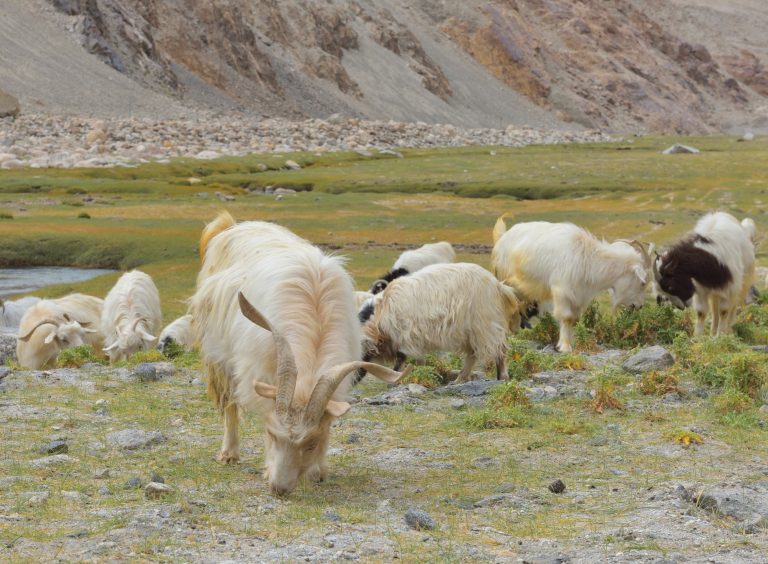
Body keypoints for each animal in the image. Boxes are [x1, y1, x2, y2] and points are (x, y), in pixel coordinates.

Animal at [189, 212, 406, 496]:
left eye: (312, 443)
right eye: (272, 434)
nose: (279, 488)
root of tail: (233, 226)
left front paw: (318, 471)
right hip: (218, 353)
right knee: (229, 404)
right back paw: (229, 453)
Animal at [359, 262, 521, 383]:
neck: (381, 312)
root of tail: (499, 286)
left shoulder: (407, 338)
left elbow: (402, 363)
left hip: (485, 326)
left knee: (500, 350)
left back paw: (502, 377)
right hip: (472, 332)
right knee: (473, 354)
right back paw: (460, 379)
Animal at [491, 216, 651, 352]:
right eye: (643, 283)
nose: (639, 306)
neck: (588, 258)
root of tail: (502, 237)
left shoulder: (579, 296)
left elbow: (574, 320)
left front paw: (573, 342)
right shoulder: (561, 291)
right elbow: (566, 317)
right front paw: (564, 347)